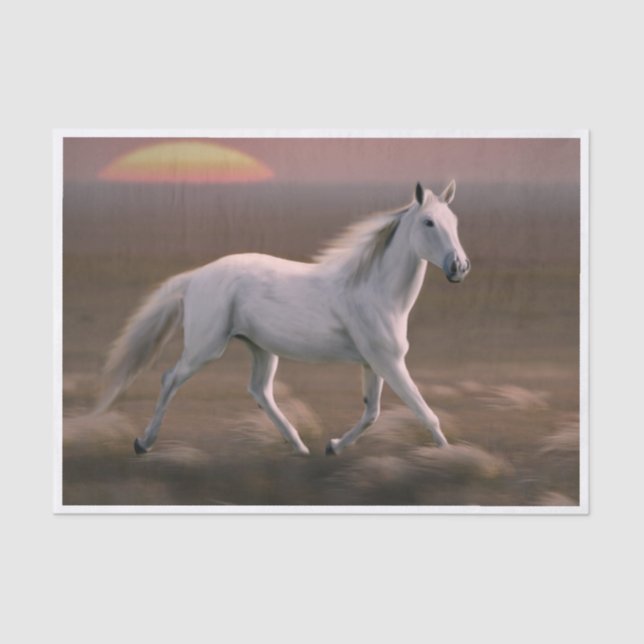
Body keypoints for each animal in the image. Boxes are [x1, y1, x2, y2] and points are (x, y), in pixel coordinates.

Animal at [96, 180, 471, 456]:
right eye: (428, 222)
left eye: (455, 222)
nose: (459, 267)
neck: (374, 290)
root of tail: (197, 276)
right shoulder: (389, 363)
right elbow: (425, 413)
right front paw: (449, 455)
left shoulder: (374, 363)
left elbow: (372, 412)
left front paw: (333, 447)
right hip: (205, 348)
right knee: (170, 379)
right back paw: (143, 443)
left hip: (261, 349)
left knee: (260, 390)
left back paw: (299, 447)